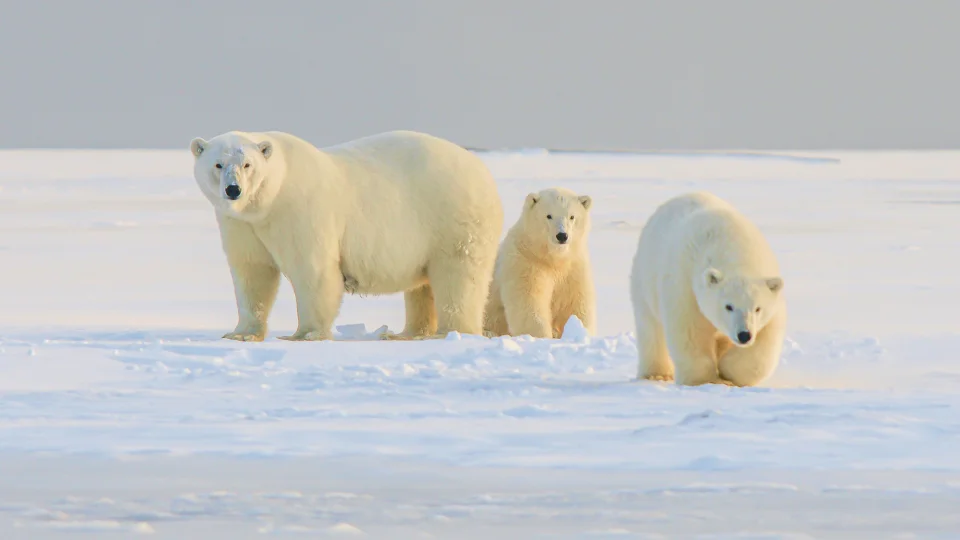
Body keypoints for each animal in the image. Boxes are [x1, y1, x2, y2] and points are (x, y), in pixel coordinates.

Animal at [188, 130, 504, 342]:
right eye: (218, 164)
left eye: (247, 165)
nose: (233, 190)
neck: (269, 200)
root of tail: (482, 170)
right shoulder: (242, 224)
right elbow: (252, 272)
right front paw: (240, 334)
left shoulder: (301, 211)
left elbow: (313, 271)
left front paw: (305, 334)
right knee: (422, 286)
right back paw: (406, 333)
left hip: (452, 218)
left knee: (458, 276)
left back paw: (451, 332)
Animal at [483, 187, 596, 339]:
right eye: (549, 216)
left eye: (572, 216)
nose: (562, 236)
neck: (551, 258)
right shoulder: (526, 262)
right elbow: (529, 302)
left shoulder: (573, 267)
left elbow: (575, 303)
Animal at [629, 191, 786, 387]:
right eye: (728, 306)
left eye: (758, 308)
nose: (744, 335)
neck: (735, 249)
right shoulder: (685, 285)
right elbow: (690, 331)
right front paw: (704, 380)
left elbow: (764, 343)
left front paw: (728, 372)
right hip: (645, 277)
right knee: (650, 327)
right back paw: (656, 374)